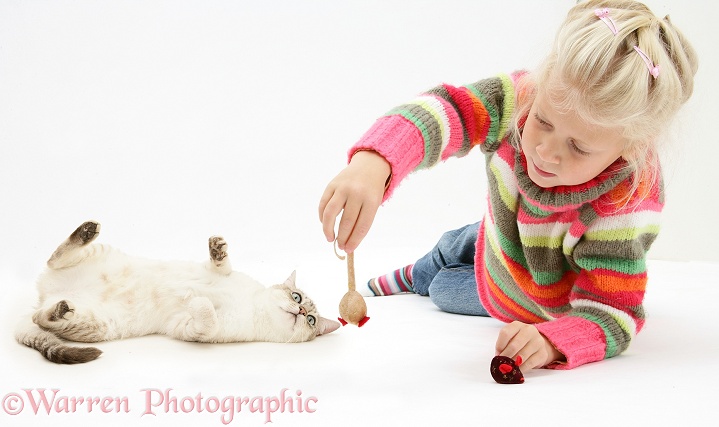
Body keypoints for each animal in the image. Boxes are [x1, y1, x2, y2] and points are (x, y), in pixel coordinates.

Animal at [15, 221, 342, 364]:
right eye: (297, 298)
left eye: (311, 321)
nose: (301, 310)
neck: (251, 306)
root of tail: (43, 297)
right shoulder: (219, 273)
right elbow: (220, 265)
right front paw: (217, 249)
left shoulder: (190, 330)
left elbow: (206, 319)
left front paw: (197, 300)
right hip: (95, 255)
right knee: (55, 258)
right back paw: (86, 231)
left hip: (93, 324)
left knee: (41, 318)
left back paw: (60, 309)